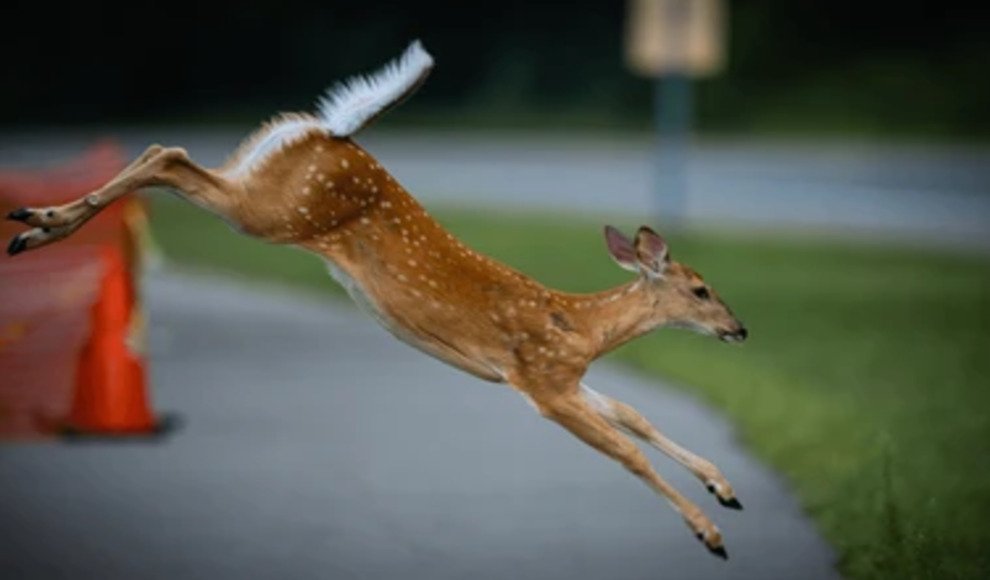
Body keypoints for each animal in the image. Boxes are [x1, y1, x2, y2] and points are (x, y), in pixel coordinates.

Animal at [6, 40, 748, 559]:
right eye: (702, 289)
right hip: (274, 211)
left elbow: (634, 415)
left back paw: (36, 224)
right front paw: (710, 534)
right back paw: (38, 227)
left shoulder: (561, 378)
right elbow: (628, 451)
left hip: (262, 189)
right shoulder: (540, 380)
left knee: (167, 150)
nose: (740, 329)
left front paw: (726, 490)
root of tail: (332, 133)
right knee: (168, 152)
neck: (583, 324)